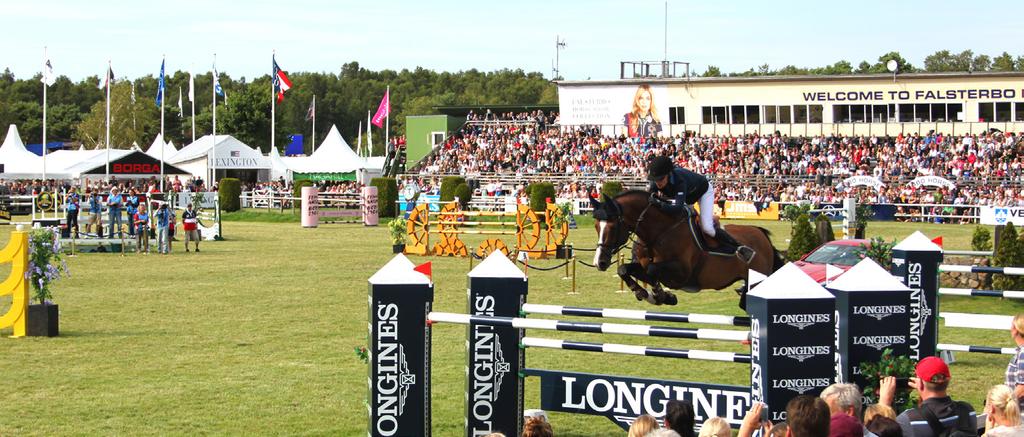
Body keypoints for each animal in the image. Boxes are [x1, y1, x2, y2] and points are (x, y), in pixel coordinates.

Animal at [593, 191, 782, 307]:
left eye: (612, 227)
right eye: (596, 226)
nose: (599, 262)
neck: (659, 232)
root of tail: (761, 234)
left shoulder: (682, 273)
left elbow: (652, 270)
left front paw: (661, 295)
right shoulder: (643, 264)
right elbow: (624, 269)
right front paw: (646, 293)